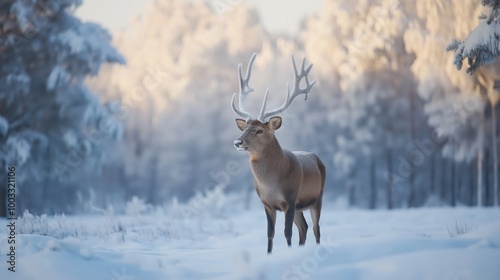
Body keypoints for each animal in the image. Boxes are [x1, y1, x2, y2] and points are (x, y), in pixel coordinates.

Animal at [229, 52, 326, 254]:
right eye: (245, 127)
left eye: (260, 130)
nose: (237, 142)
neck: (272, 184)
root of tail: (317, 157)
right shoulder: (267, 204)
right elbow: (270, 234)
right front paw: (270, 254)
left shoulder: (290, 198)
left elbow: (287, 232)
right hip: (300, 207)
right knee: (304, 228)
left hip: (318, 197)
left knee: (315, 228)